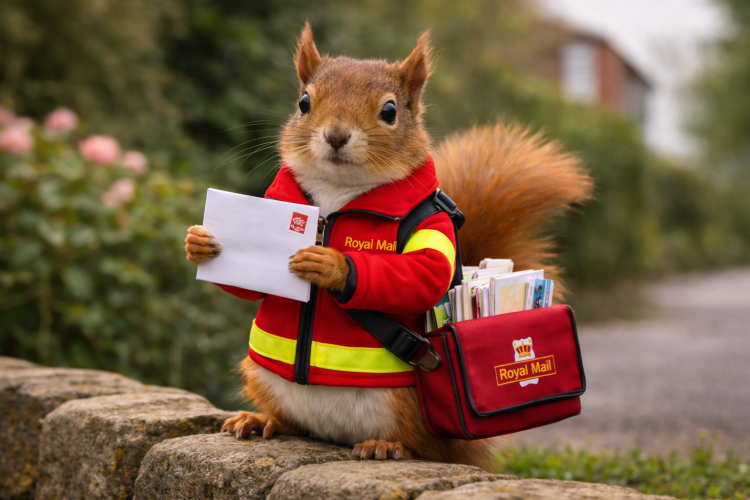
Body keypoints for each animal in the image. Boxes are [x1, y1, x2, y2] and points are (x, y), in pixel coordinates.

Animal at [184, 22, 593, 469]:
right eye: (304, 102)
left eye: (390, 111)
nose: (336, 136)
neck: (338, 194)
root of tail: (332, 435)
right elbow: (249, 289)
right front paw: (199, 242)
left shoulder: (431, 228)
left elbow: (424, 274)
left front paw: (333, 265)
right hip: (262, 376)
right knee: (292, 422)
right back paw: (261, 420)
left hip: (409, 406)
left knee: (424, 447)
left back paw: (385, 445)